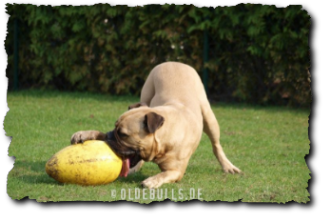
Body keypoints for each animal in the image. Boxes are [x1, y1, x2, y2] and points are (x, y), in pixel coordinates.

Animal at [71, 61, 240, 188]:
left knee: (216, 145)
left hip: (209, 117)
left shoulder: (176, 171)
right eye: (115, 128)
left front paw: (152, 180)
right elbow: (99, 133)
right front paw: (83, 134)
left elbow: (165, 174)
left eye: (123, 135)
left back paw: (228, 166)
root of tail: (174, 62)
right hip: (146, 95)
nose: (111, 137)